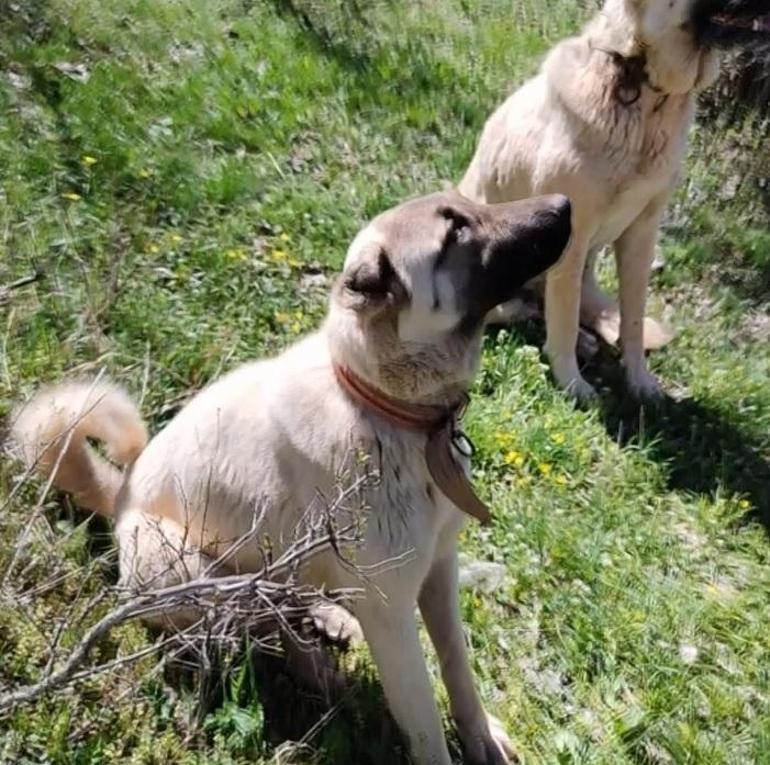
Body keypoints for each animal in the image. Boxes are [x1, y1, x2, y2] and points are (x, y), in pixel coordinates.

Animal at [12, 190, 568, 764]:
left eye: (465, 205)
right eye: (455, 231)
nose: (563, 204)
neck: (389, 409)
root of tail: (120, 495)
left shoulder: (439, 571)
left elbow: (459, 670)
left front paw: (480, 735)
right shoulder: (392, 618)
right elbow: (426, 729)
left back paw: (328, 618)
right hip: (196, 572)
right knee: (259, 626)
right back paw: (314, 664)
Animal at [456, 0, 768, 400]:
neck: (640, 81)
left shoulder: (642, 234)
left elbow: (632, 318)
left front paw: (639, 381)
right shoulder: (572, 238)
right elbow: (563, 320)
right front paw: (573, 384)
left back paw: (588, 340)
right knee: (518, 311)